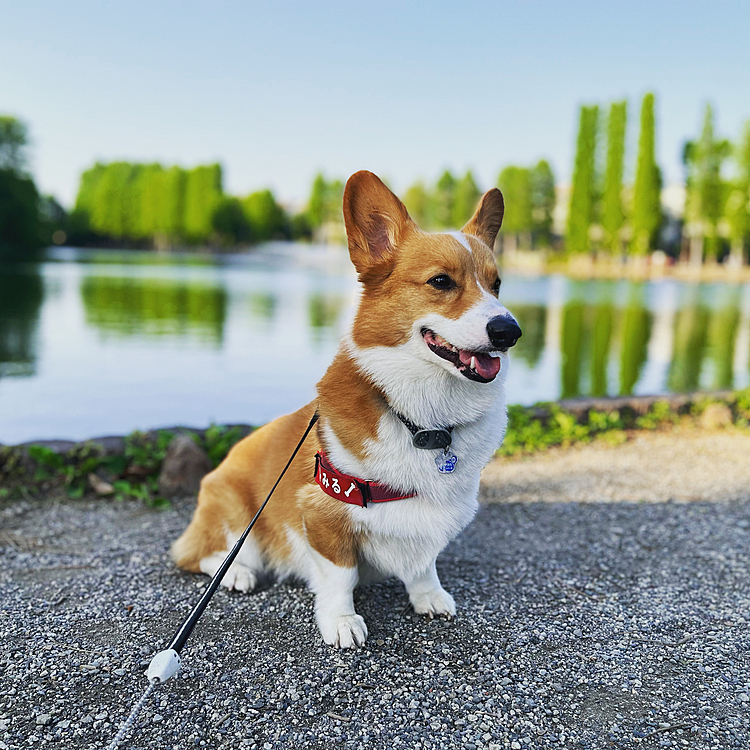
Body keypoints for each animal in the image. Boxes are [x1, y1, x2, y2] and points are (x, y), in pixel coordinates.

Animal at [172, 169, 524, 648]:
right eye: (440, 282)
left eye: (497, 284)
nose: (510, 331)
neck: (424, 419)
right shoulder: (322, 512)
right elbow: (340, 576)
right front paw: (342, 622)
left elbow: (424, 564)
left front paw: (429, 597)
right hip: (232, 512)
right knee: (202, 555)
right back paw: (237, 574)